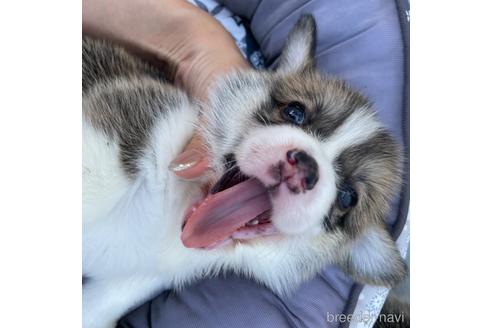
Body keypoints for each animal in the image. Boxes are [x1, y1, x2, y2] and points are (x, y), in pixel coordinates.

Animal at [82, 15, 406, 328]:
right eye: (294, 112)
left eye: (348, 197)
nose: (304, 165)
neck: (174, 211)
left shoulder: (134, 278)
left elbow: (100, 307)